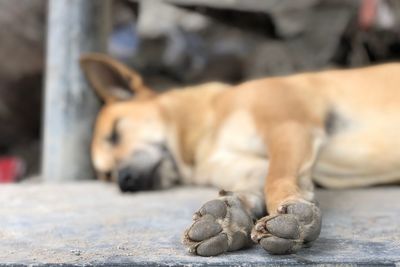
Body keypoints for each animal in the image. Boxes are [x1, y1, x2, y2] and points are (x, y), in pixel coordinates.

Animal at [79, 54, 400, 258]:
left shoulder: (288, 128)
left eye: (115, 133)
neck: (207, 134)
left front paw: (292, 212)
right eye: (106, 175)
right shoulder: (251, 167)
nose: (124, 180)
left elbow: (277, 178)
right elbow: (249, 189)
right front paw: (229, 215)